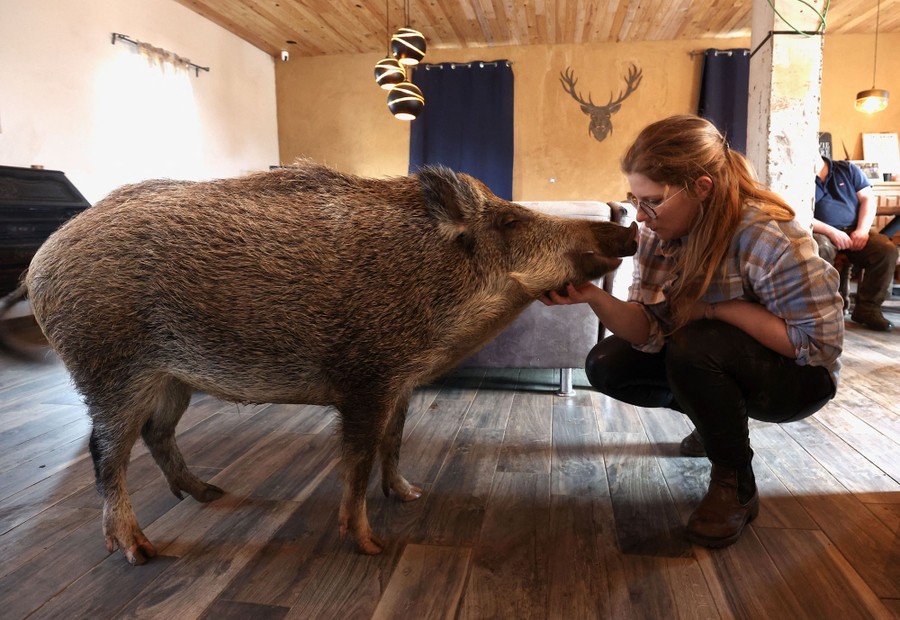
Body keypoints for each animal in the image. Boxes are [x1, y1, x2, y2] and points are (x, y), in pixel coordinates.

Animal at [1, 160, 637, 564]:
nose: (625, 231)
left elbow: (393, 443)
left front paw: (409, 496)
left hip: (172, 378)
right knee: (105, 452)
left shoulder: (400, 383)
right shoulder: (365, 381)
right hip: (110, 369)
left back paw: (210, 495)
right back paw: (141, 552)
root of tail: (38, 264)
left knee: (158, 435)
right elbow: (356, 460)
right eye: (509, 221)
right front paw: (370, 546)